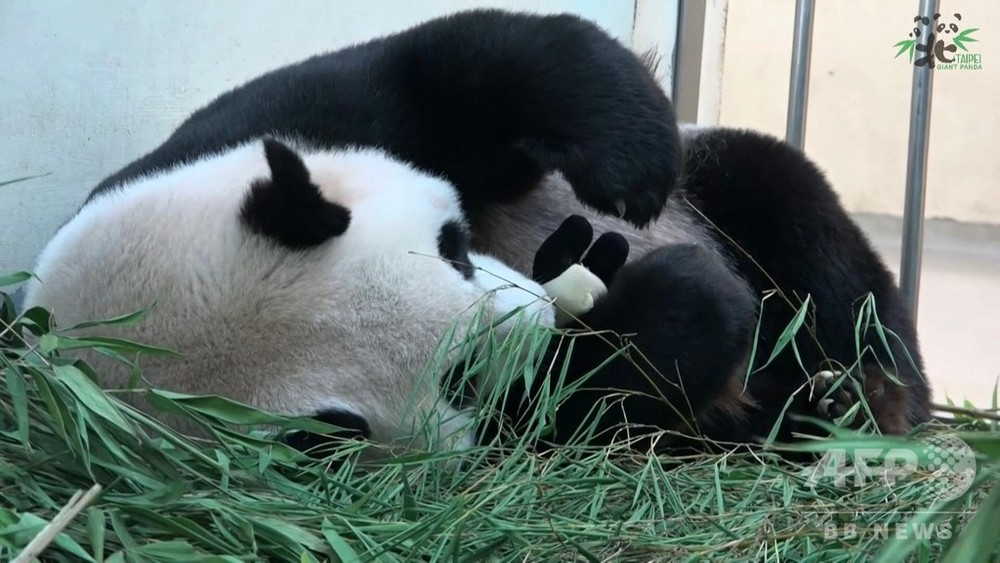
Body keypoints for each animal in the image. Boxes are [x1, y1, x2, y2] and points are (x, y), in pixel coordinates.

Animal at [21, 7, 928, 458]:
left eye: (454, 247)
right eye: (464, 381)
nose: (538, 310)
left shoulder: (282, 123)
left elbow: (461, 63)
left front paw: (628, 174)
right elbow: (597, 401)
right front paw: (682, 299)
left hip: (729, 184)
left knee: (800, 220)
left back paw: (870, 392)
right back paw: (809, 404)